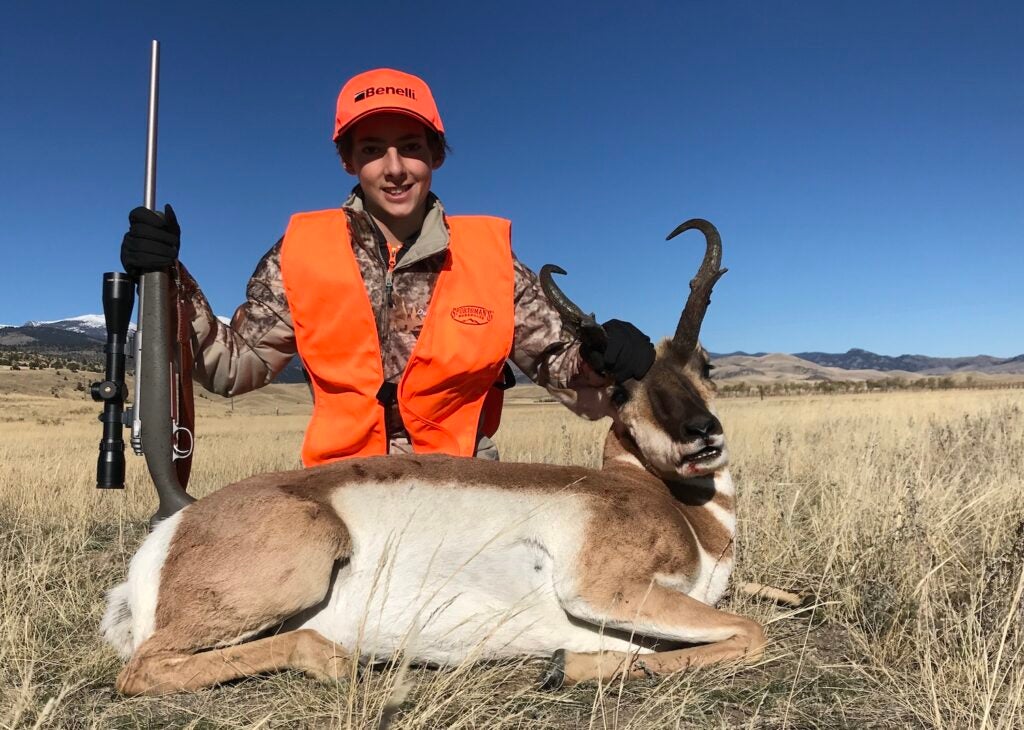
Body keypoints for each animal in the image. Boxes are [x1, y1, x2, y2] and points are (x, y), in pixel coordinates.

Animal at [101, 219, 766, 696]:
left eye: (704, 366)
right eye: (623, 393)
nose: (702, 436)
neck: (680, 515)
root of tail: (173, 530)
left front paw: (570, 662)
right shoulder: (605, 593)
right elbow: (752, 631)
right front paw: (567, 666)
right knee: (141, 670)